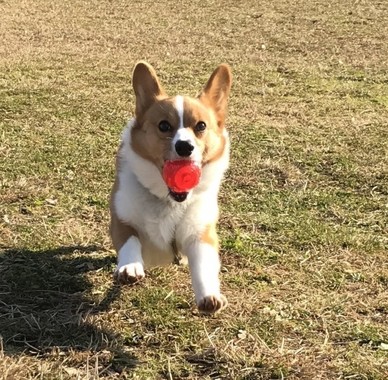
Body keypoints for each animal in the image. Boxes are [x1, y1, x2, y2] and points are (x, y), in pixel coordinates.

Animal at [108, 60, 230, 314]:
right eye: (164, 126)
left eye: (201, 126)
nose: (184, 146)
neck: (169, 200)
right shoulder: (121, 220)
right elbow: (130, 240)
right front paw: (130, 267)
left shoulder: (201, 232)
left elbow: (203, 263)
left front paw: (210, 296)